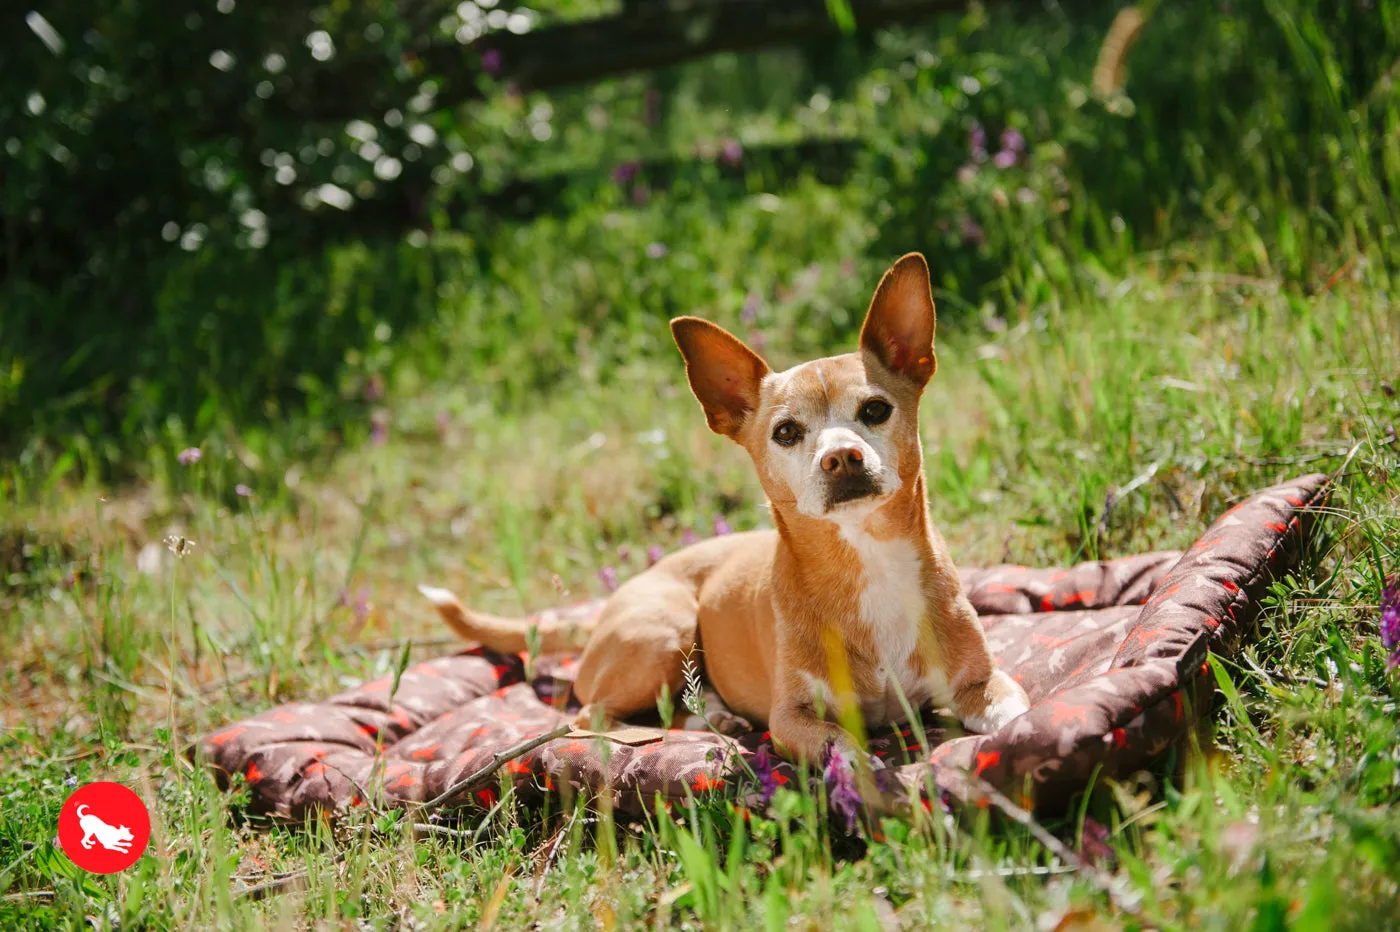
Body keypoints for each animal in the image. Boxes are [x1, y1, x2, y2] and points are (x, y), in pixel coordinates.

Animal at [414, 250, 1030, 761]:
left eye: (875, 410)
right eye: (786, 432)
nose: (842, 457)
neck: (866, 560)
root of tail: (610, 604)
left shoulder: (979, 683)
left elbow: (1011, 708)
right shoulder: (792, 719)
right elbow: (845, 748)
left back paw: (712, 715)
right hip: (663, 633)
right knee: (590, 717)